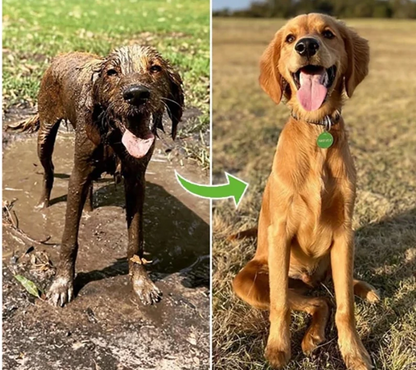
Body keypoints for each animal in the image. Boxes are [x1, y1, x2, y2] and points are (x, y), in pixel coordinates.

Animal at [13, 45, 183, 306]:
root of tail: (63, 54)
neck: (112, 134)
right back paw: (43, 205)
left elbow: (135, 241)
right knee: (48, 172)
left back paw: (89, 210)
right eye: (112, 72)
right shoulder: (77, 174)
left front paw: (141, 283)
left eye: (155, 68)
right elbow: (69, 239)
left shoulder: (136, 180)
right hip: (45, 133)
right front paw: (62, 284)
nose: (136, 94)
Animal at [231, 13, 380, 368]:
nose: (307, 46)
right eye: (289, 38)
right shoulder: (281, 232)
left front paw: (354, 353)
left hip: (332, 262)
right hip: (250, 279)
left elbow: (345, 306)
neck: (317, 133)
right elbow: (281, 305)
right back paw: (310, 337)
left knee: (329, 295)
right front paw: (278, 349)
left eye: (328, 34)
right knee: (312, 301)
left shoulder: (344, 234)